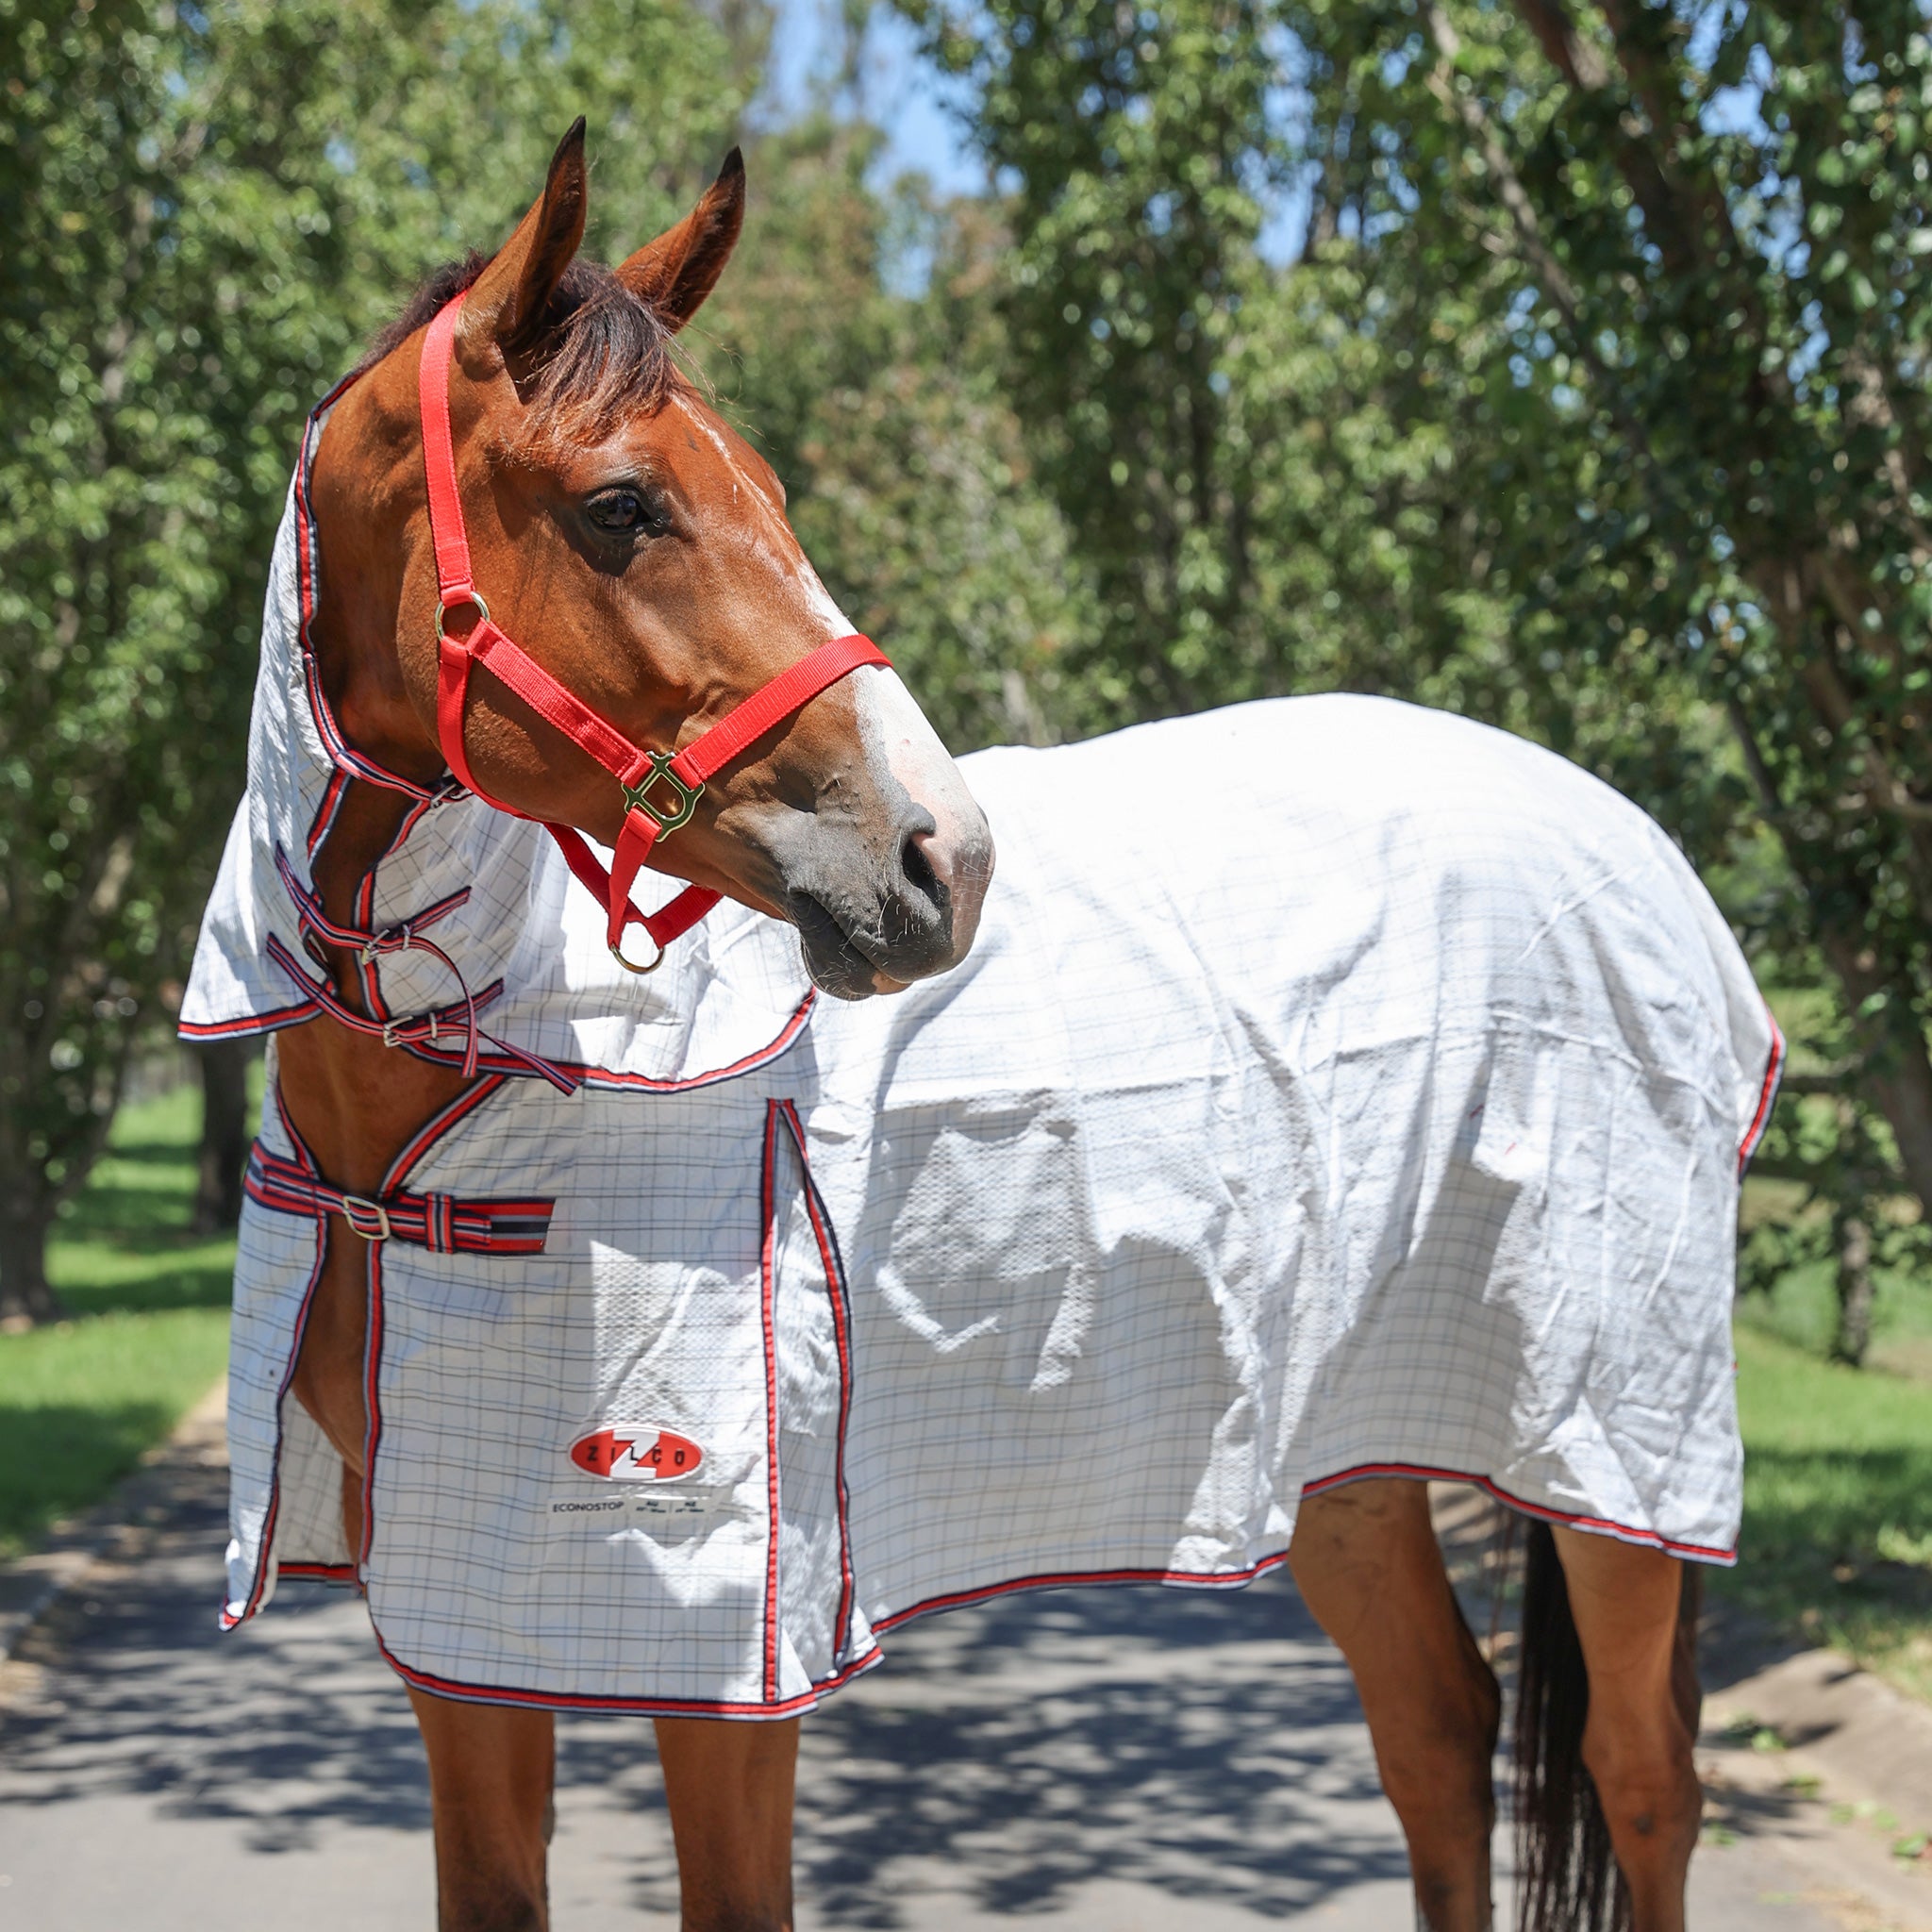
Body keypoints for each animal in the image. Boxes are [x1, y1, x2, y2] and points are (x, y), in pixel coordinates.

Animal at [184, 123, 1778, 1932]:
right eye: (619, 505)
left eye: (771, 492)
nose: (938, 857)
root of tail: (1623, 842)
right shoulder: (461, 1645)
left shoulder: (726, 1668)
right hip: (1347, 1448)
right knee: (1437, 1735)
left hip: (1611, 1464)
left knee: (1640, 1783)